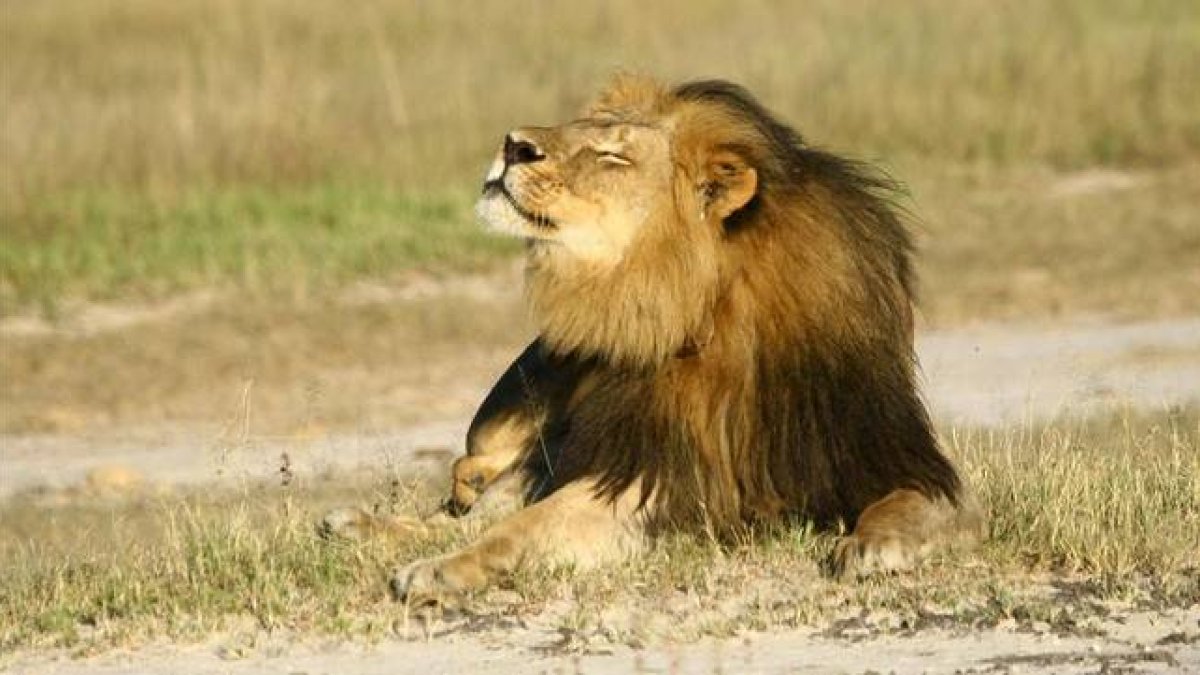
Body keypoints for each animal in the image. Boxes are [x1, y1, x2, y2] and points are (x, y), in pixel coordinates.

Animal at [326, 75, 982, 605]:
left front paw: (875, 545)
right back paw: (359, 525)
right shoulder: (645, 473)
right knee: (470, 506)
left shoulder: (889, 456)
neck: (703, 308)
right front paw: (440, 570)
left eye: (612, 154)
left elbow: (917, 501)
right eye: (581, 129)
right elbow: (520, 527)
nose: (513, 145)